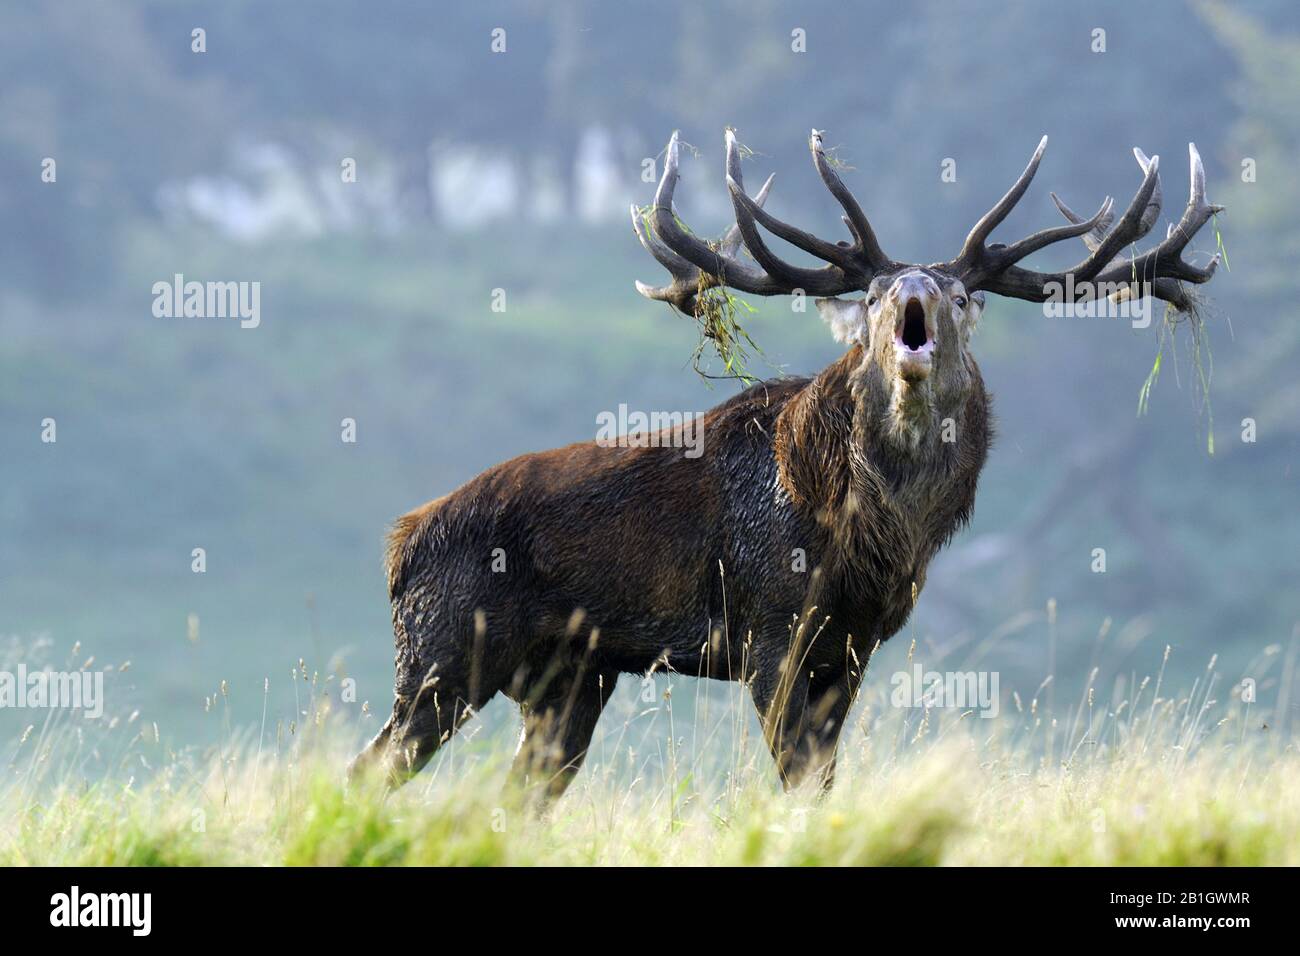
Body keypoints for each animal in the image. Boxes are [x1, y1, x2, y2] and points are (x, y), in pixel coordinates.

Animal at [351, 125, 1222, 801]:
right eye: (871, 294)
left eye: (962, 296)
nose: (913, 288)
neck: (869, 532)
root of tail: (399, 548)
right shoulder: (770, 628)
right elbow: (799, 781)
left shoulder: (854, 645)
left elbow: (825, 781)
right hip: (443, 650)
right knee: (372, 766)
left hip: (569, 677)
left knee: (520, 791)